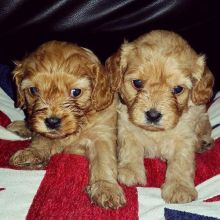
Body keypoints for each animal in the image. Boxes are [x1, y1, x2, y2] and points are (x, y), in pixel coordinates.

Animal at [7, 40, 125, 208]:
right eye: (34, 90)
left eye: (76, 92)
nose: (52, 121)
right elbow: (41, 138)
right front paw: (33, 151)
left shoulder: (102, 136)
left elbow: (103, 161)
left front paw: (106, 188)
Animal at [105, 30, 214, 204]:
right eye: (137, 83)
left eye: (178, 89)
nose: (153, 115)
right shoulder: (127, 126)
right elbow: (130, 147)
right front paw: (130, 171)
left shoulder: (185, 137)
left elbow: (181, 161)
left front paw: (179, 188)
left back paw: (203, 143)